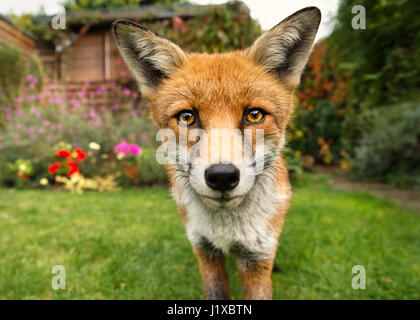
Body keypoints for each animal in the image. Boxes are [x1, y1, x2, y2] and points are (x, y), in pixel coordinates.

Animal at [113, 6, 320, 298]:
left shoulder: (256, 259)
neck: (227, 229)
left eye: (254, 115)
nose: (222, 176)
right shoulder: (205, 252)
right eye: (187, 117)